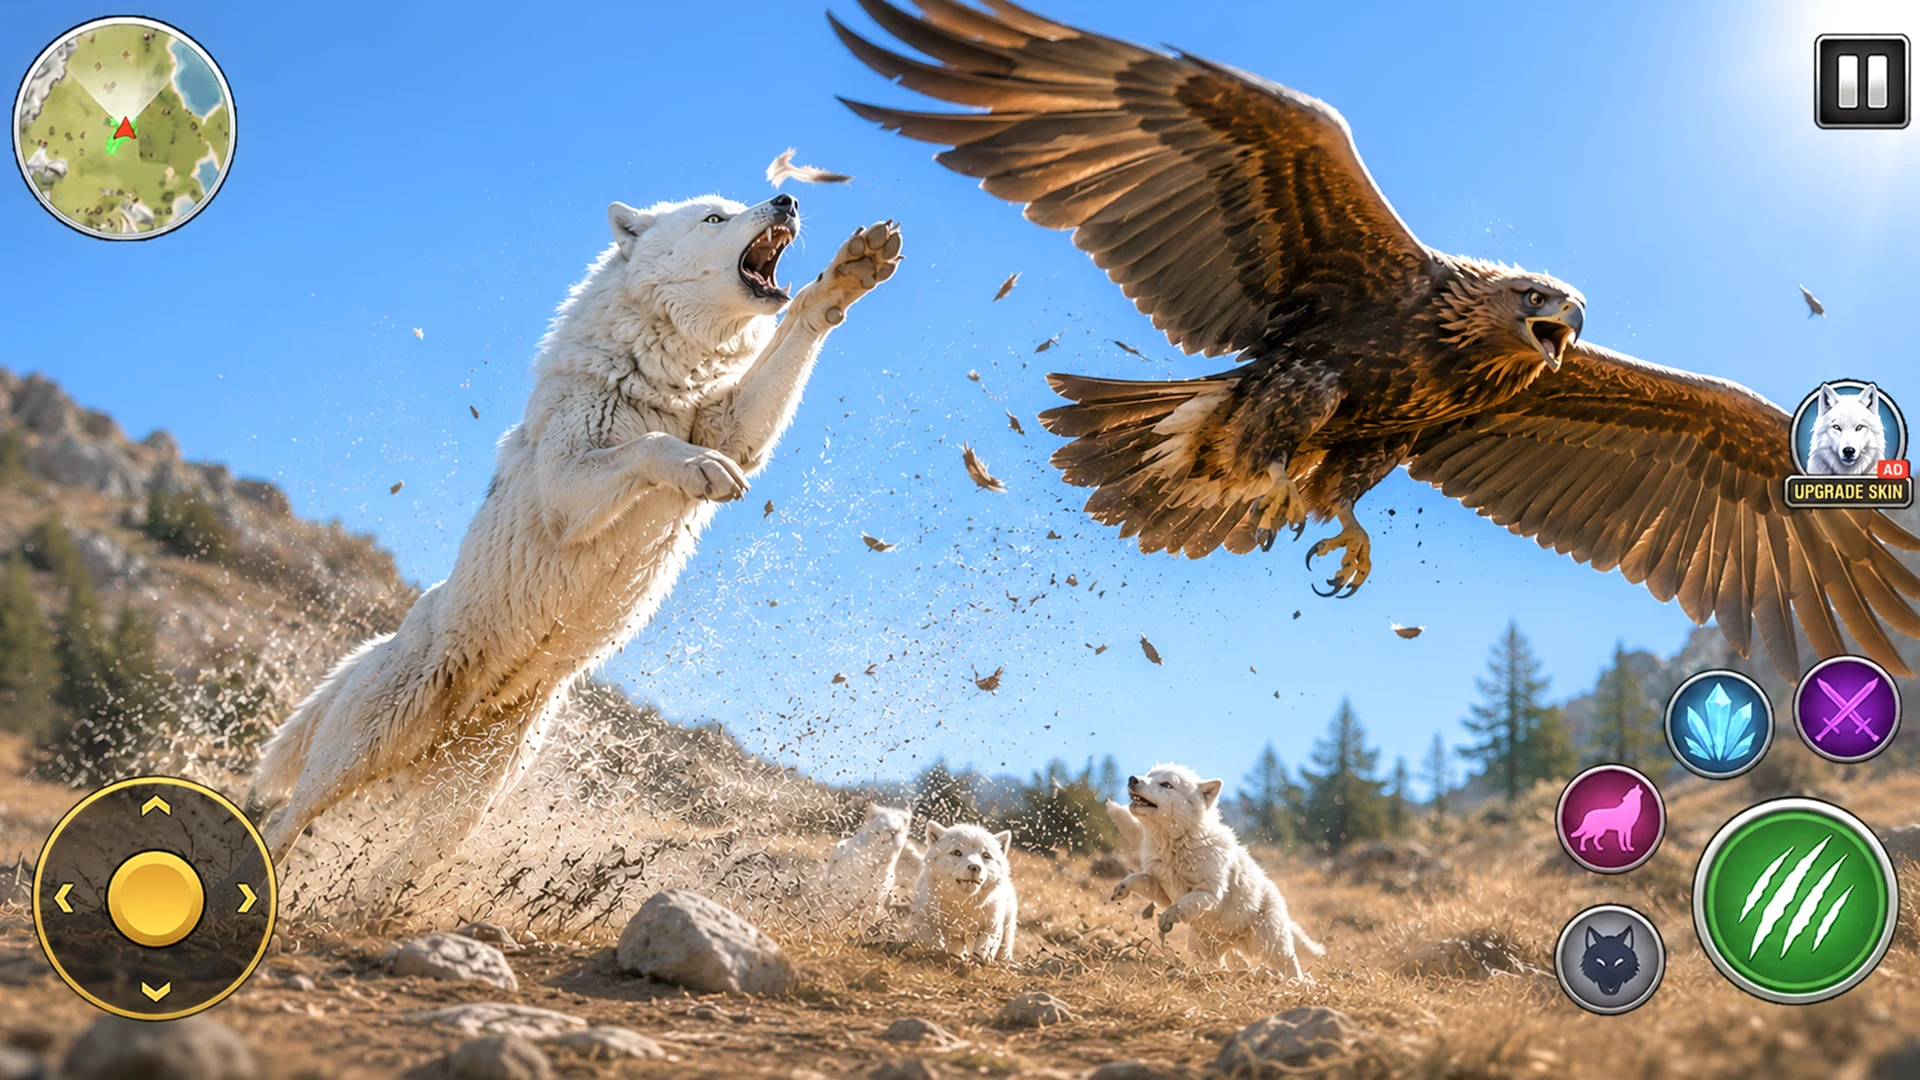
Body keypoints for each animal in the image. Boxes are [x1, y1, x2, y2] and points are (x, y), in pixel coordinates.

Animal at [249, 192, 903, 867]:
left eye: (740, 203)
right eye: (714, 218)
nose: (786, 199)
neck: (668, 377)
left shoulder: (735, 429)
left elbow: (796, 322)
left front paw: (851, 271)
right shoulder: (568, 484)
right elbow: (651, 444)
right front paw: (695, 467)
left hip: (466, 804)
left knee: (399, 867)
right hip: (358, 752)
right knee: (288, 817)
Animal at [908, 822, 1017, 963]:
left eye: (986, 855)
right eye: (957, 852)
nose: (975, 867)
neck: (962, 903)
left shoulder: (992, 925)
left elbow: (984, 947)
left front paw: (977, 961)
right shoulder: (925, 918)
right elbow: (931, 940)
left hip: (1007, 931)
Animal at [1111, 764, 1323, 979]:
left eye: (1166, 784)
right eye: (1148, 775)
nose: (1132, 779)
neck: (1176, 843)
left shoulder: (1209, 893)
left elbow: (1182, 904)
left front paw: (1167, 918)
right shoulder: (1163, 891)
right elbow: (1142, 877)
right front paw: (1122, 888)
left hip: (1268, 942)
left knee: (1291, 963)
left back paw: (1295, 982)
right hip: (1203, 945)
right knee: (1217, 963)